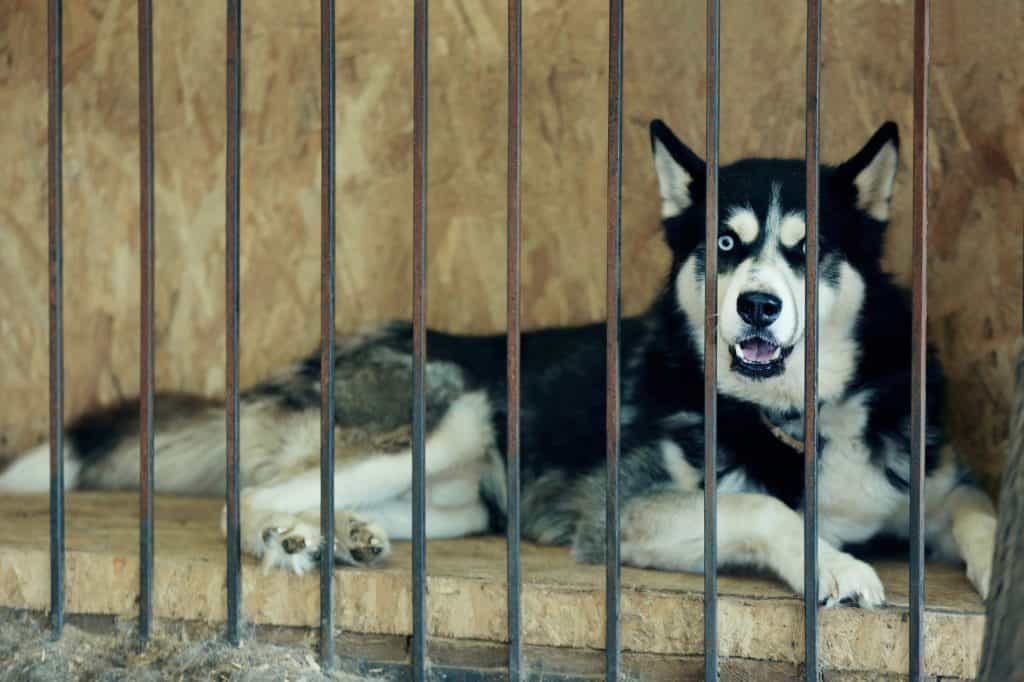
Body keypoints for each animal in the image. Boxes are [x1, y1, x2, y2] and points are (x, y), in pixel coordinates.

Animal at [0, 119, 991, 602]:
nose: (757, 304)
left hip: (457, 505)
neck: (791, 419)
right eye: (725, 244)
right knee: (245, 497)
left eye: (806, 249)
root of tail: (324, 355)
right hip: (453, 413)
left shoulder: (932, 485)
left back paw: (338, 535)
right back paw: (288, 538)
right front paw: (834, 566)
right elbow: (764, 513)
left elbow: (980, 512)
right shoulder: (621, 512)